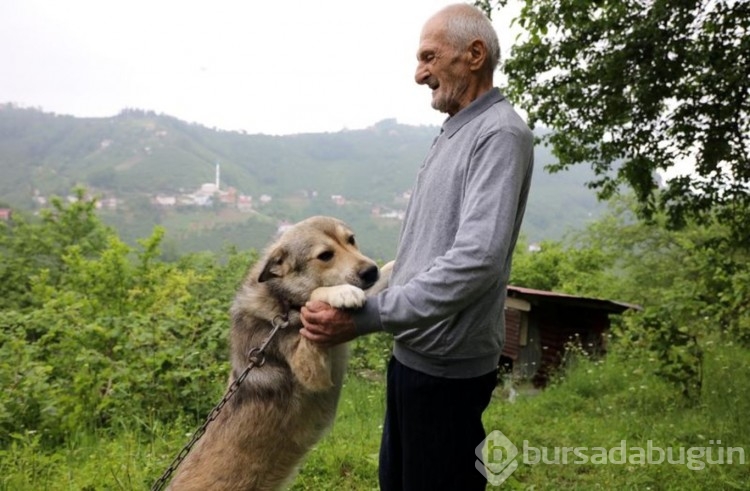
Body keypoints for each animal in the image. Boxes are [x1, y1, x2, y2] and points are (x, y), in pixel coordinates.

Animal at [167, 217, 394, 490]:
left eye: (350, 240)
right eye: (325, 255)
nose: (370, 270)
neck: (283, 303)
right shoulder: (310, 369)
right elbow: (315, 297)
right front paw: (339, 292)